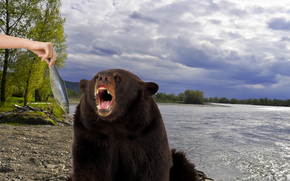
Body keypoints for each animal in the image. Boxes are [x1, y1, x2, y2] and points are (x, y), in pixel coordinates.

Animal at [67, 68, 199, 180]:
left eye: (118, 78)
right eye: (96, 77)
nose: (102, 78)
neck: (116, 122)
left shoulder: (147, 135)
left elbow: (153, 168)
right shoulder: (90, 135)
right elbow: (89, 169)